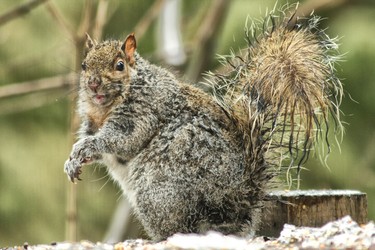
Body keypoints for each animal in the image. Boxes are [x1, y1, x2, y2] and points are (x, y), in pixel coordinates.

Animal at [64, 5, 344, 240]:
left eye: (119, 65)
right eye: (84, 65)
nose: (93, 84)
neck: (103, 108)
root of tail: (237, 203)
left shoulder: (144, 112)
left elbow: (122, 139)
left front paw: (86, 147)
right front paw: (73, 161)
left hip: (159, 192)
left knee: (181, 228)